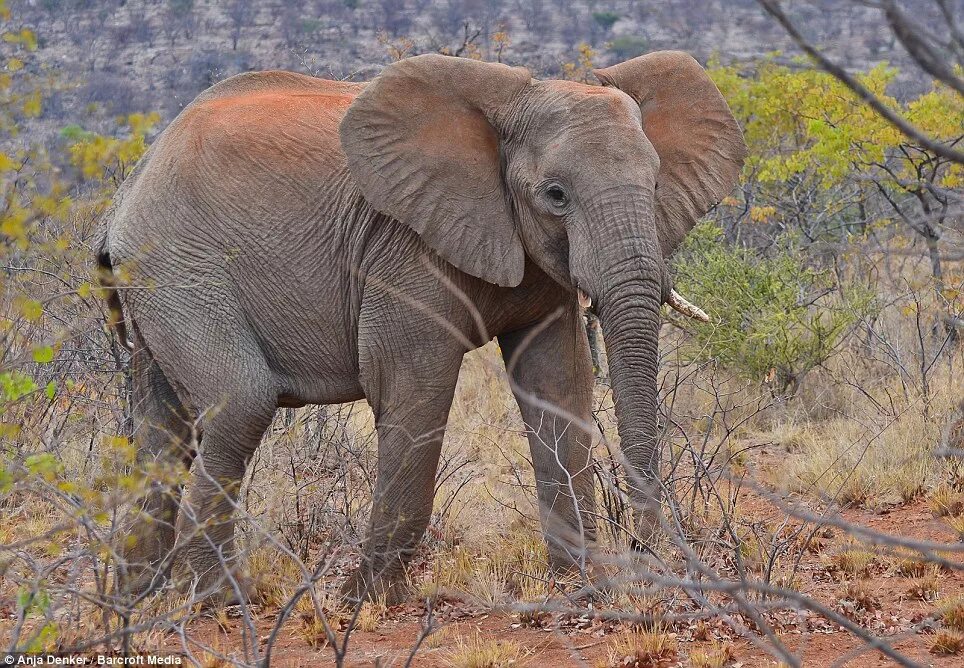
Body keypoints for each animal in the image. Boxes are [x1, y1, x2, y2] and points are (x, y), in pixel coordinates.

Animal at [96, 51, 744, 604]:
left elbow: (557, 383)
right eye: (555, 195)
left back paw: (136, 601)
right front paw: (365, 601)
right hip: (177, 267)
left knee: (162, 428)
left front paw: (586, 587)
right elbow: (413, 385)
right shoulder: (404, 247)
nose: (646, 552)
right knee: (240, 404)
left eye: (655, 184)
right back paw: (218, 601)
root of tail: (128, 189)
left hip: (155, 281)